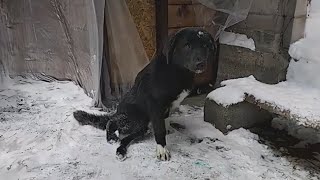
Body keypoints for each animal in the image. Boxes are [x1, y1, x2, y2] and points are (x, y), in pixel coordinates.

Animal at [74, 27, 216, 160]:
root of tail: (117, 111)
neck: (176, 71)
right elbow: (159, 129)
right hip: (136, 118)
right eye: (187, 45)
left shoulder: (167, 107)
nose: (201, 64)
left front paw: (168, 128)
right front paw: (162, 149)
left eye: (205, 46)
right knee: (112, 122)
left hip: (142, 127)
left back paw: (121, 150)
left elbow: (166, 119)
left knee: (126, 138)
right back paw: (111, 137)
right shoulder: (155, 105)